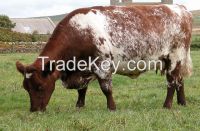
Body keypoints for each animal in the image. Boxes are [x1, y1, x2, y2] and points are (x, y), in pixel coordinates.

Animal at [16, 4, 192, 112]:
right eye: (26, 88)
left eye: (39, 86)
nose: (34, 110)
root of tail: (180, 8)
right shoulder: (83, 69)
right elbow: (82, 90)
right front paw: (79, 106)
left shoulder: (103, 65)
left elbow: (106, 89)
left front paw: (112, 107)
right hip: (177, 59)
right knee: (180, 80)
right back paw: (182, 102)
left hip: (175, 56)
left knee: (172, 82)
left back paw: (167, 105)